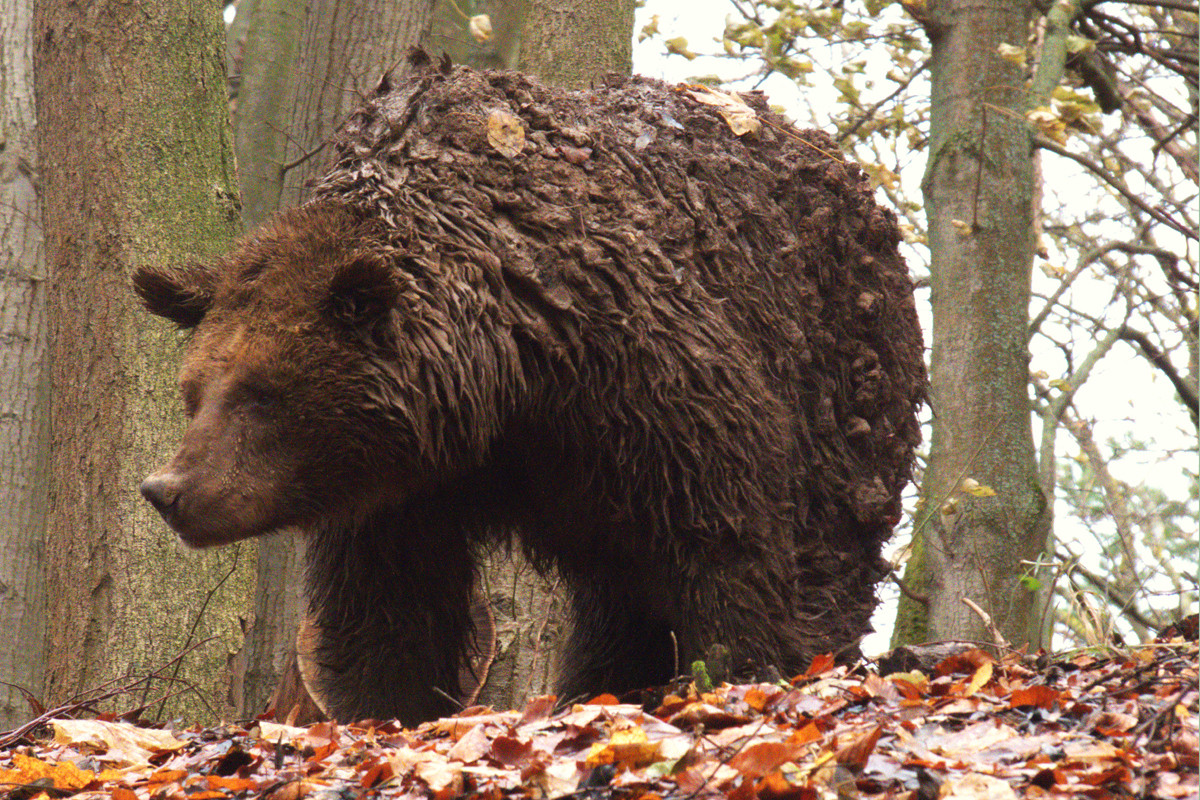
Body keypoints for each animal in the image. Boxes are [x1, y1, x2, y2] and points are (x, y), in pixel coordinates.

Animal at [140, 62, 926, 724]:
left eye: (261, 392)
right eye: (194, 391)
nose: (167, 490)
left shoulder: (641, 382)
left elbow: (727, 540)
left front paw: (737, 670)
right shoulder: (402, 492)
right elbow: (388, 603)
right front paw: (387, 706)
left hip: (839, 383)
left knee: (824, 542)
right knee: (617, 597)